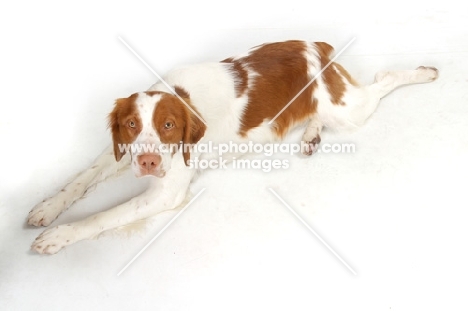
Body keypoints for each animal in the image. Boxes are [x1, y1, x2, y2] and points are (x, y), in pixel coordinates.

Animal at [28, 39, 438, 254]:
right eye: (132, 125)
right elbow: (81, 178)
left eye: (168, 126)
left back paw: (424, 72)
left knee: (384, 78)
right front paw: (48, 207)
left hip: (349, 110)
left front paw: (61, 234)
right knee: (319, 114)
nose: (147, 163)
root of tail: (315, 45)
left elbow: (104, 215)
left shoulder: (167, 192)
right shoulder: (122, 152)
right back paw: (310, 135)